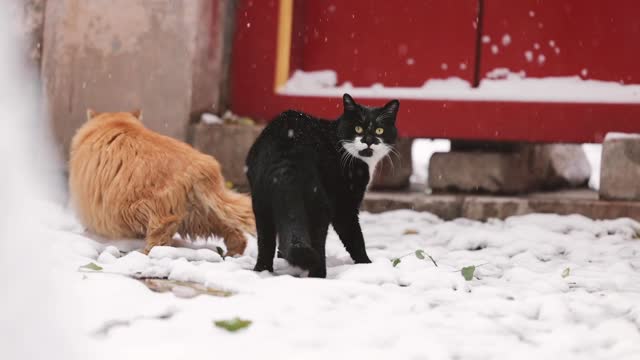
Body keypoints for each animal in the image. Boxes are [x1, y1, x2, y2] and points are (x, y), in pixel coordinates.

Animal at [67, 111, 252, 255]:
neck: (116, 123)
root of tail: (201, 165)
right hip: (202, 215)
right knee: (234, 231)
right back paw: (233, 253)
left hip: (140, 209)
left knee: (161, 236)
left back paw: (146, 253)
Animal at [246, 93, 400, 278]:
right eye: (358, 129)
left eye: (379, 130)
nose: (369, 141)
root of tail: (285, 157)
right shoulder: (344, 204)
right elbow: (354, 237)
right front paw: (366, 264)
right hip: (318, 204)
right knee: (317, 243)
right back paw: (317, 275)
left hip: (261, 202)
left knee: (265, 241)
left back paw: (262, 271)